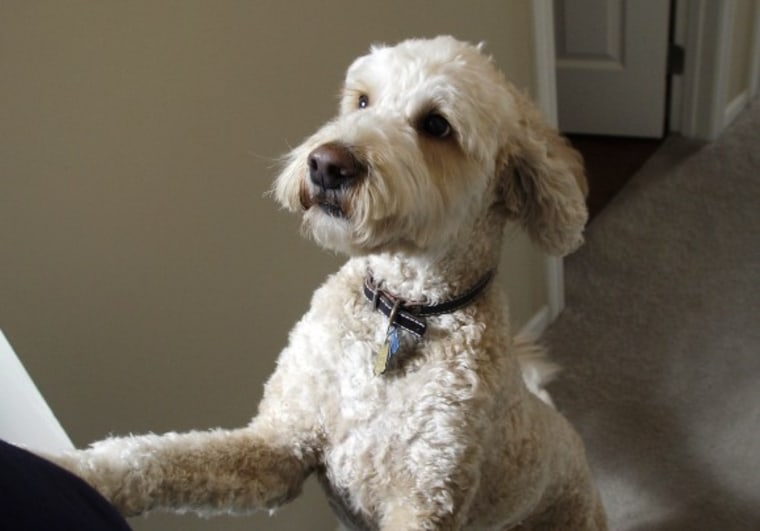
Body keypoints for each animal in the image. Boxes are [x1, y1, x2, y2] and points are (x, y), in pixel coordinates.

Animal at [52, 37, 604, 531]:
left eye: (436, 125)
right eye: (361, 100)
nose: (327, 163)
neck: (402, 309)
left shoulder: (424, 498)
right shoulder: (282, 442)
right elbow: (155, 455)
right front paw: (74, 472)